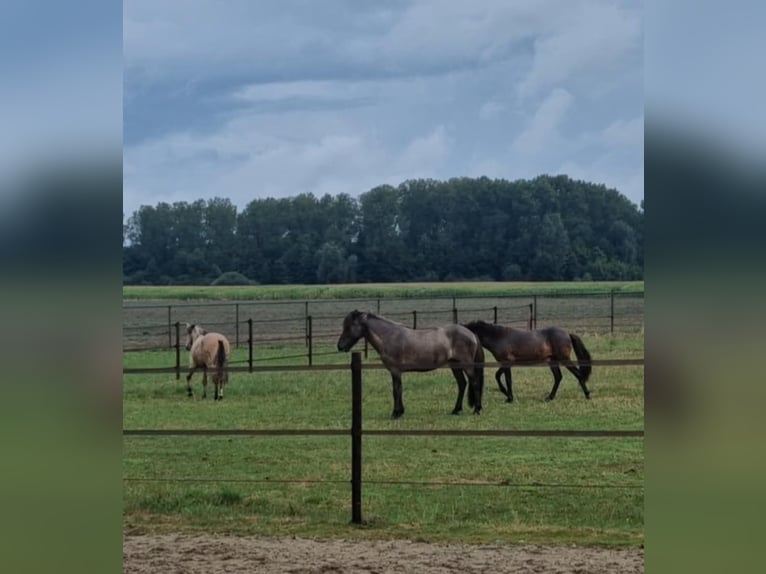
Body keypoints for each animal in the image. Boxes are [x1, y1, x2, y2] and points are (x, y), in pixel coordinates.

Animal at [336, 310, 485, 418]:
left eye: (349, 326)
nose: (340, 346)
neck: (389, 336)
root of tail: (472, 334)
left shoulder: (395, 371)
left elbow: (396, 390)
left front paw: (396, 413)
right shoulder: (396, 372)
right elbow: (399, 389)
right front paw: (400, 411)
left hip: (467, 366)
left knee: (474, 383)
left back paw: (477, 410)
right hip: (455, 366)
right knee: (462, 384)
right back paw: (456, 410)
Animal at [463, 320, 592, 402]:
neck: (499, 337)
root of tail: (567, 334)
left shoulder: (507, 362)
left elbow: (505, 379)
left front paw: (509, 398)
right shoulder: (505, 363)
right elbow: (501, 377)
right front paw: (507, 395)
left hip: (564, 359)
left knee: (578, 374)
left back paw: (587, 395)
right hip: (552, 361)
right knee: (558, 377)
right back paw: (550, 397)